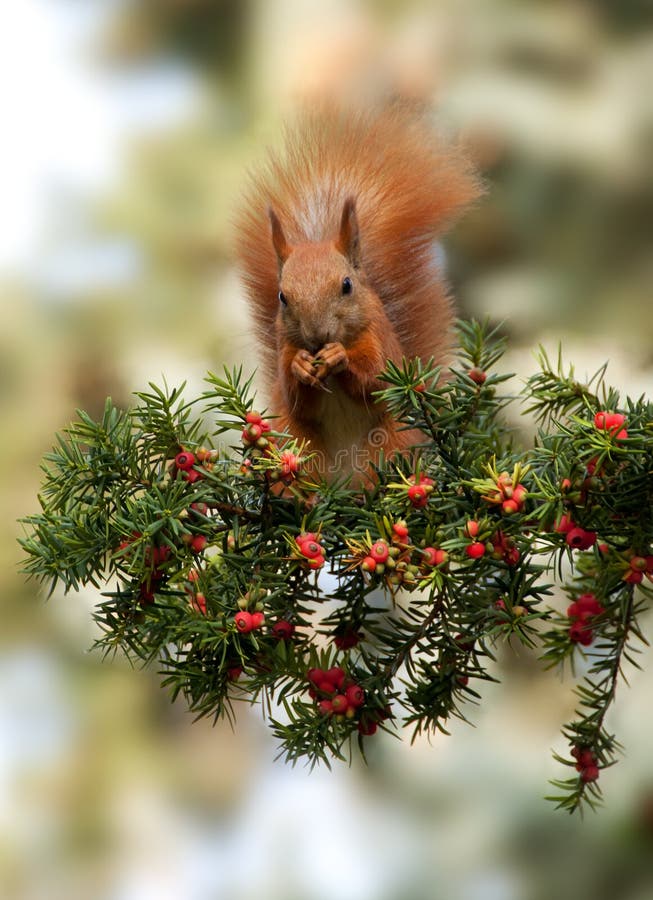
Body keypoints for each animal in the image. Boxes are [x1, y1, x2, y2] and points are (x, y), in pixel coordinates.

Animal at [234, 102, 480, 481]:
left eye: (347, 285)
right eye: (282, 297)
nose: (317, 336)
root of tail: (344, 479)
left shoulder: (380, 341)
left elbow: (376, 382)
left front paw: (339, 357)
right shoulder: (284, 349)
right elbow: (294, 397)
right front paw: (302, 366)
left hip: (389, 442)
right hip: (296, 441)